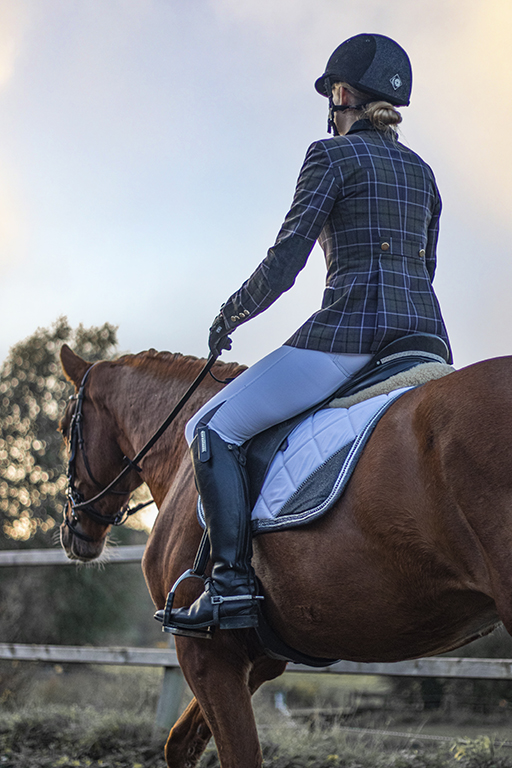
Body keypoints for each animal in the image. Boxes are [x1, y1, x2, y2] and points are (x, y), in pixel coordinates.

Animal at [58, 346, 512, 768]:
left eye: (64, 429)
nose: (71, 530)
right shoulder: (264, 656)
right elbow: (181, 742)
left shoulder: (204, 652)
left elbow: (231, 754)